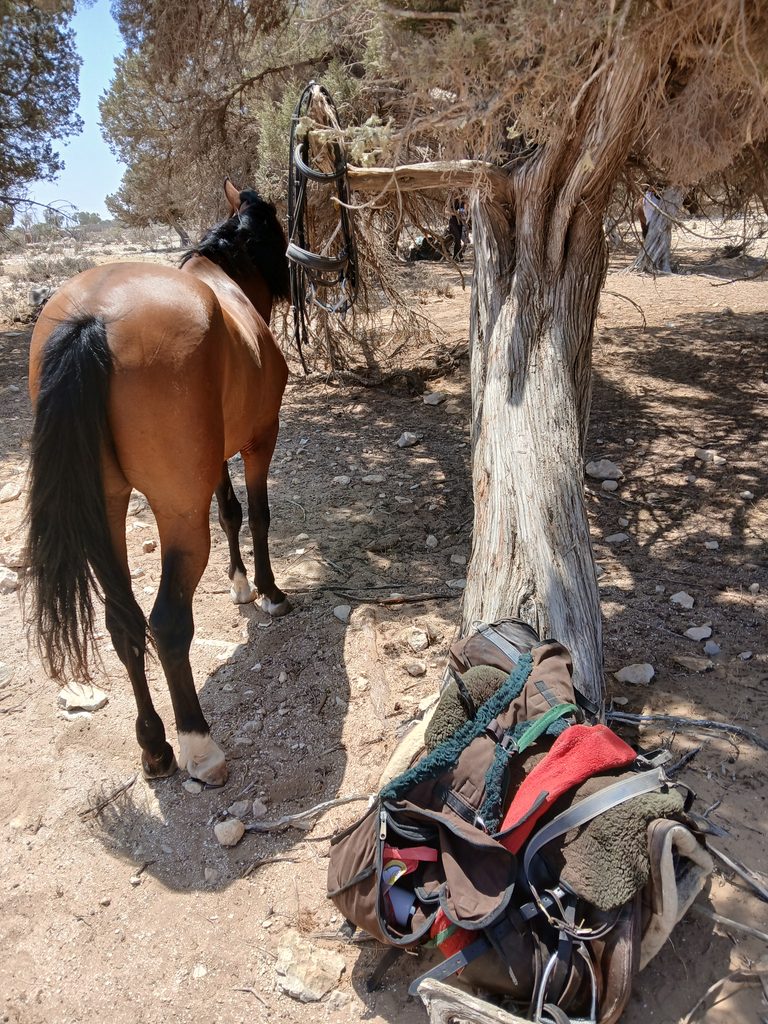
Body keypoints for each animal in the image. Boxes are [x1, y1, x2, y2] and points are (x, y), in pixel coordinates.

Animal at [25, 180, 292, 787]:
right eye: (276, 230)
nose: (293, 282)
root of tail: (91, 319)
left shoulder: (214, 457)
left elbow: (231, 510)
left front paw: (240, 586)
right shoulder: (259, 438)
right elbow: (258, 514)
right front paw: (268, 592)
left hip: (106, 507)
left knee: (123, 623)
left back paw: (155, 747)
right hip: (177, 513)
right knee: (166, 623)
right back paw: (198, 746)